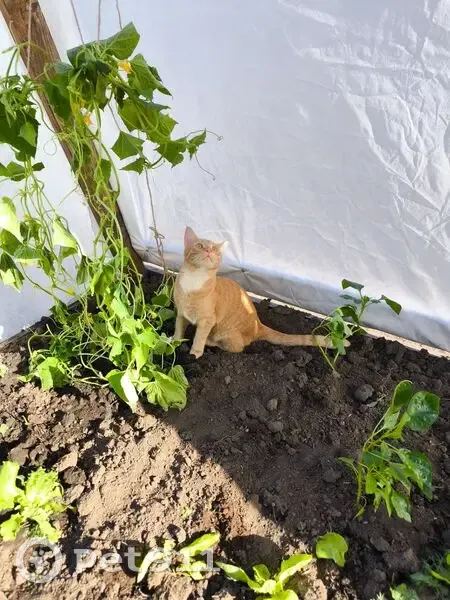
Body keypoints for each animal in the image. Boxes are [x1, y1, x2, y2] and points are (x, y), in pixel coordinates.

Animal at [174, 226, 336, 359]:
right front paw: (174, 342)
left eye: (214, 250)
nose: (208, 251)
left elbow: (199, 338)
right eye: (200, 245)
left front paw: (195, 353)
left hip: (227, 334)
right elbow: (178, 328)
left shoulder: (207, 321)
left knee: (236, 348)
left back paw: (210, 341)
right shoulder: (181, 314)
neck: (195, 279)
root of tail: (258, 324)